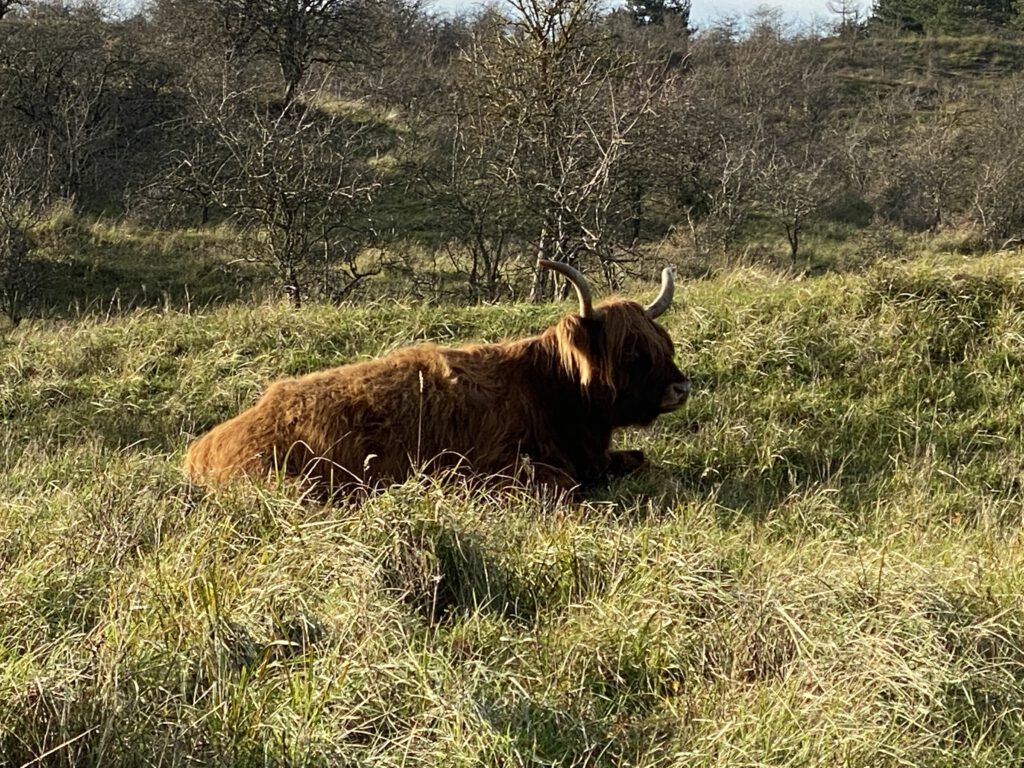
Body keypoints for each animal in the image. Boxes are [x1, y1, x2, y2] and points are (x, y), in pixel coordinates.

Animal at [186, 262, 688, 493]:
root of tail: (200, 450)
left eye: (662, 344)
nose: (681, 387)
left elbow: (638, 458)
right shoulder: (497, 468)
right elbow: (564, 483)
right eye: (631, 353)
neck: (546, 390)